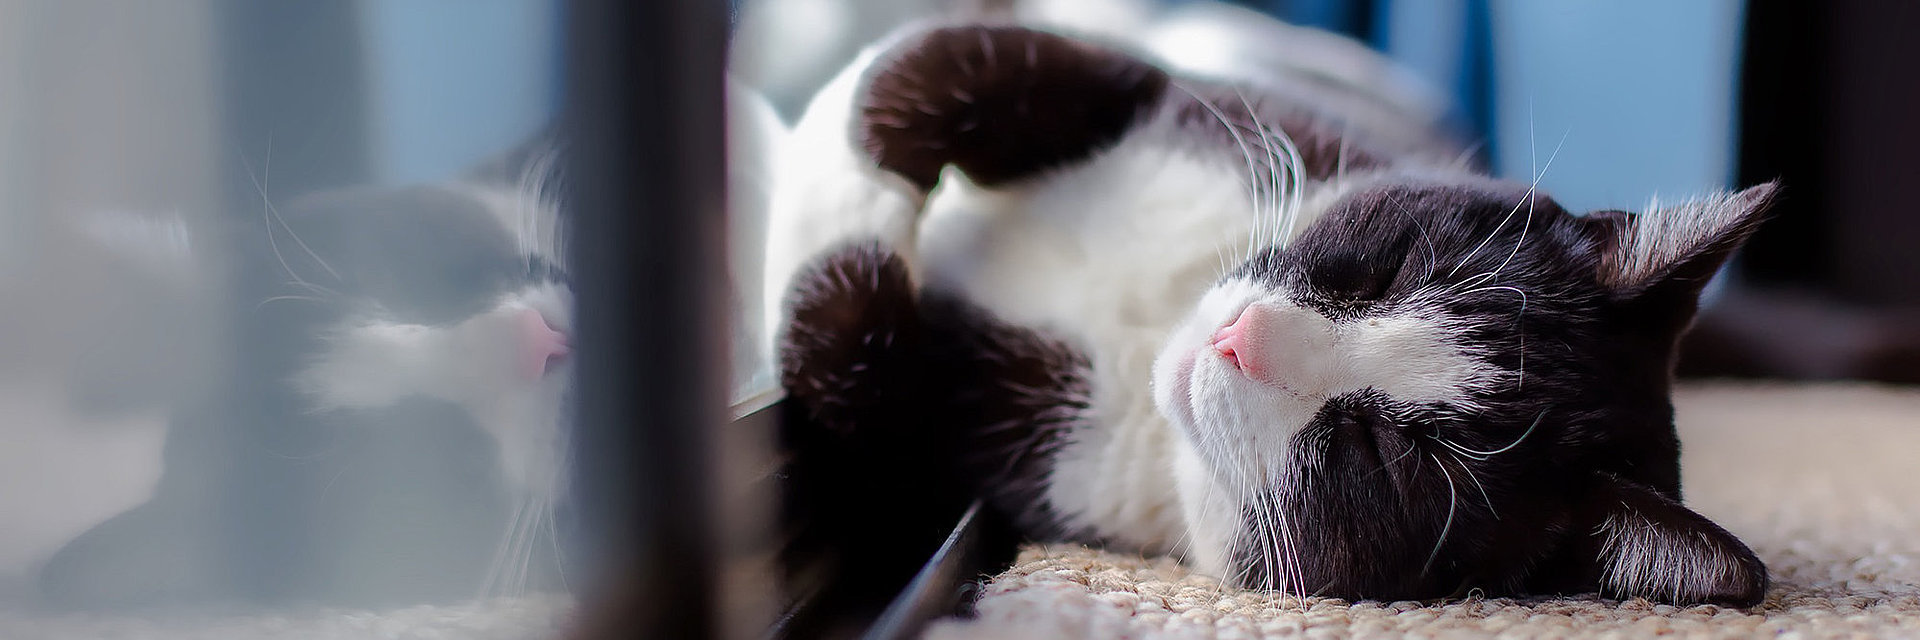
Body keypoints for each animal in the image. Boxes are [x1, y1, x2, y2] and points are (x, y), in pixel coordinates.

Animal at [760, 23, 1766, 603]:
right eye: (1390, 272)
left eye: (1387, 452)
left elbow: (849, 357)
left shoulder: (1000, 458)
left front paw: (813, 195)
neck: (1153, 317)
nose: (1238, 340)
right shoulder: (1203, 104)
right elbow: (937, 63)